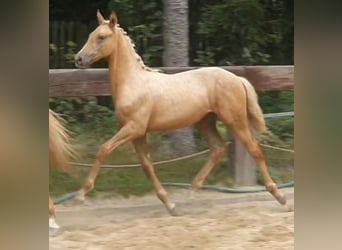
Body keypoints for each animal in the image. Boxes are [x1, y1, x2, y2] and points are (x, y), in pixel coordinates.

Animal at [74, 11, 286, 215]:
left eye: (102, 37)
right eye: (91, 35)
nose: (78, 59)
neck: (134, 83)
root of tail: (238, 78)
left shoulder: (134, 128)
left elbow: (103, 150)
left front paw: (81, 195)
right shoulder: (137, 133)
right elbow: (147, 166)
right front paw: (170, 205)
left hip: (235, 120)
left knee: (254, 150)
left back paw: (280, 197)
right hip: (205, 122)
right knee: (218, 149)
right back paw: (191, 193)